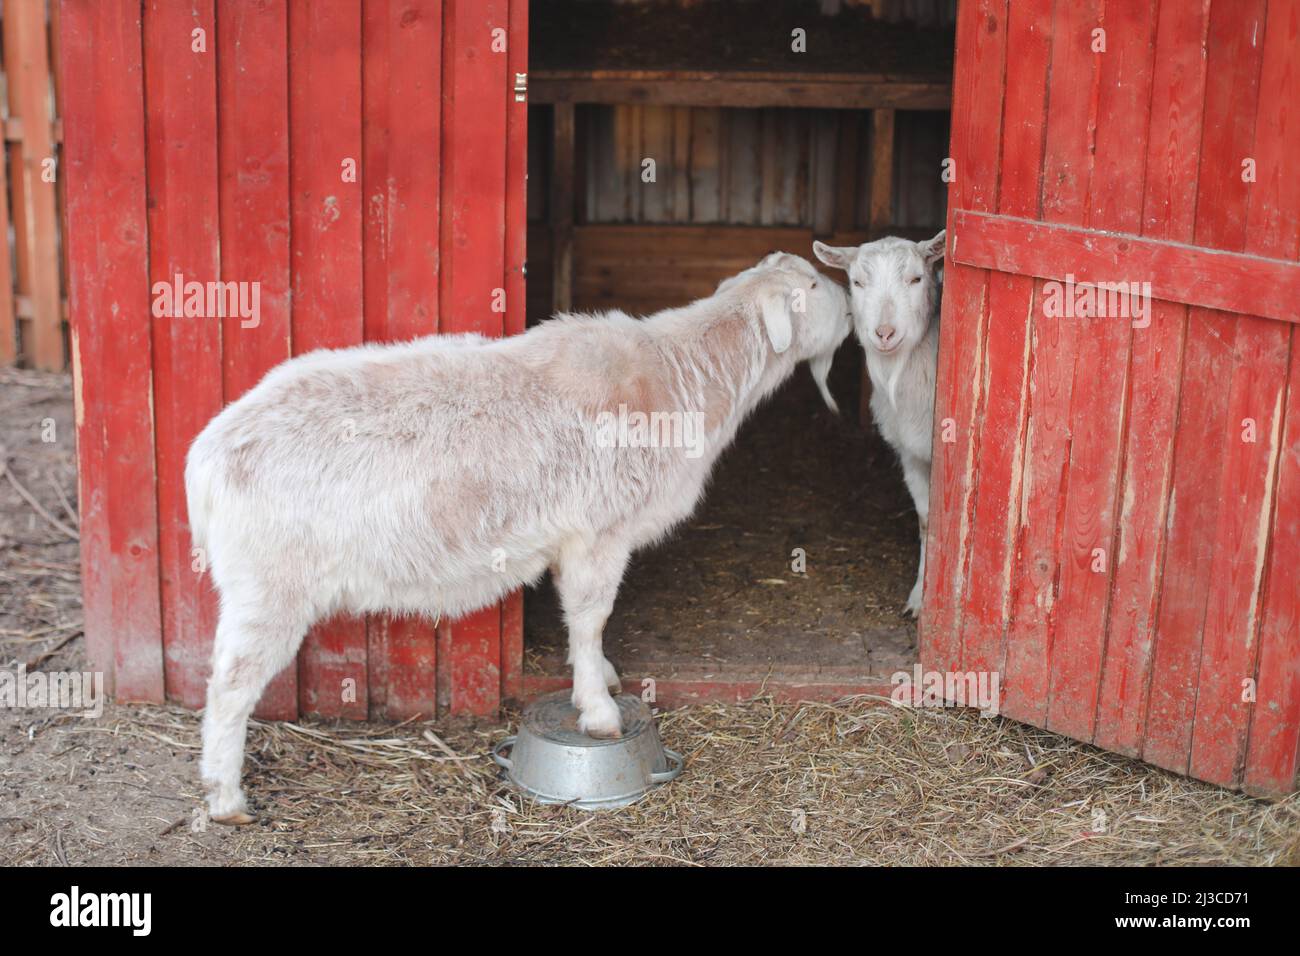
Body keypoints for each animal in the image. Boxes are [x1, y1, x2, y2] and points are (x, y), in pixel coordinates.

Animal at [185, 252, 852, 822]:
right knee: (229, 685)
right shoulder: (599, 531)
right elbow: (590, 616)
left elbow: (583, 621)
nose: (850, 310)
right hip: (269, 584)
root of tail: (207, 455)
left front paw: (601, 676)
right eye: (812, 287)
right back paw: (226, 798)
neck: (680, 374)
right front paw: (599, 711)